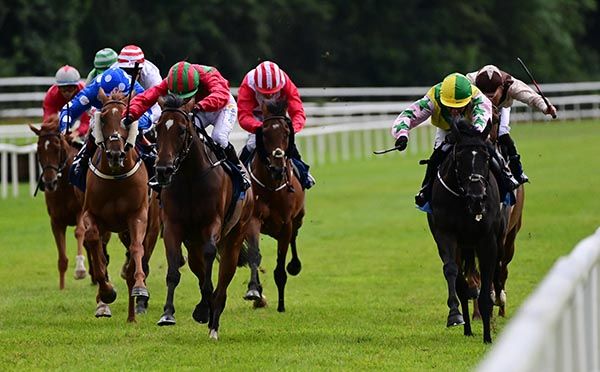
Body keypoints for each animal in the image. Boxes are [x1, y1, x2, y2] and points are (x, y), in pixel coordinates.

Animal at [28, 115, 87, 290]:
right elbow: (62, 259)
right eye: (39, 149)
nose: (49, 183)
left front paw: (80, 269)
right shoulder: (56, 221)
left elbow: (79, 232)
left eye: (57, 148)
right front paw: (61, 288)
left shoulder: (81, 212)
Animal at [83, 88, 162, 322]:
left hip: (152, 227)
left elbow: (137, 249)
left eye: (128, 121)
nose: (115, 153)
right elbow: (94, 242)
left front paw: (140, 287)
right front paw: (106, 292)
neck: (116, 178)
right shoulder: (92, 215)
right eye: (103, 118)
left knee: (141, 255)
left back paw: (133, 313)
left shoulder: (137, 216)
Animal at [155, 93, 253, 340]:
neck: (190, 177)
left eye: (181, 130)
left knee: (223, 280)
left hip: (234, 237)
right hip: (192, 243)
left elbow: (210, 261)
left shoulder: (212, 224)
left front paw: (207, 310)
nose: (163, 170)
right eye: (157, 128)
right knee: (197, 267)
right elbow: (173, 269)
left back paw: (214, 323)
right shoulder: (173, 226)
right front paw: (167, 314)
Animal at [243, 100, 304, 312]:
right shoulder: (253, 220)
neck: (272, 186)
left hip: (298, 218)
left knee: (294, 237)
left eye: (286, 132)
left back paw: (295, 265)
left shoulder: (286, 224)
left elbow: (280, 267)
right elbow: (254, 255)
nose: (278, 167)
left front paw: (281, 306)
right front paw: (255, 291)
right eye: (265, 133)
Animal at [426, 119, 506, 342]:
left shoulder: (488, 240)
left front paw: (487, 337)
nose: (477, 198)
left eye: (486, 157)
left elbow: (488, 280)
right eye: (460, 158)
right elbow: (452, 272)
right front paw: (455, 315)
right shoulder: (446, 235)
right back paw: (468, 328)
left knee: (498, 270)